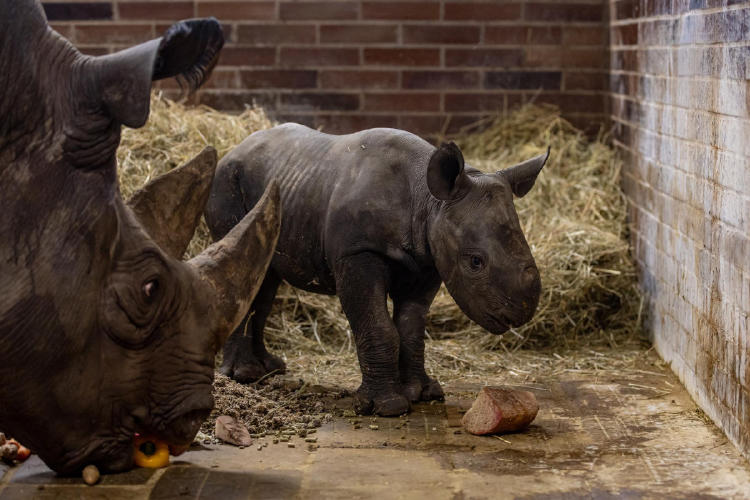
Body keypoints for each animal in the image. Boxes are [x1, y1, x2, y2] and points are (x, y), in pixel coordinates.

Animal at [206, 125, 548, 418]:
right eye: (475, 262)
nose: (520, 313)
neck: (427, 201)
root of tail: (234, 148)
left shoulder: (426, 260)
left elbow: (411, 329)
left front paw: (423, 393)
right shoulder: (358, 252)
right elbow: (378, 326)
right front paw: (387, 406)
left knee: (265, 280)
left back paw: (272, 368)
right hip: (227, 182)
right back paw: (245, 375)